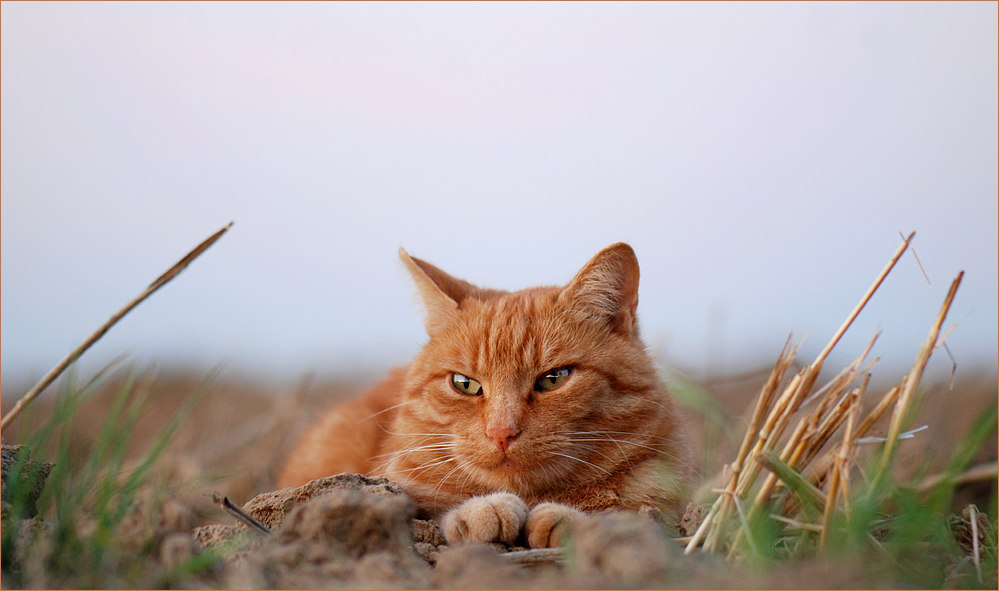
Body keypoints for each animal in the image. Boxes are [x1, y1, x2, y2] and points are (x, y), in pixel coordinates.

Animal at [278, 243, 692, 548]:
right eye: (465, 384)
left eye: (553, 379)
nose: (501, 432)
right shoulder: (391, 484)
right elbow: (430, 511)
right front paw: (480, 511)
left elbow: (628, 515)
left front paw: (569, 520)